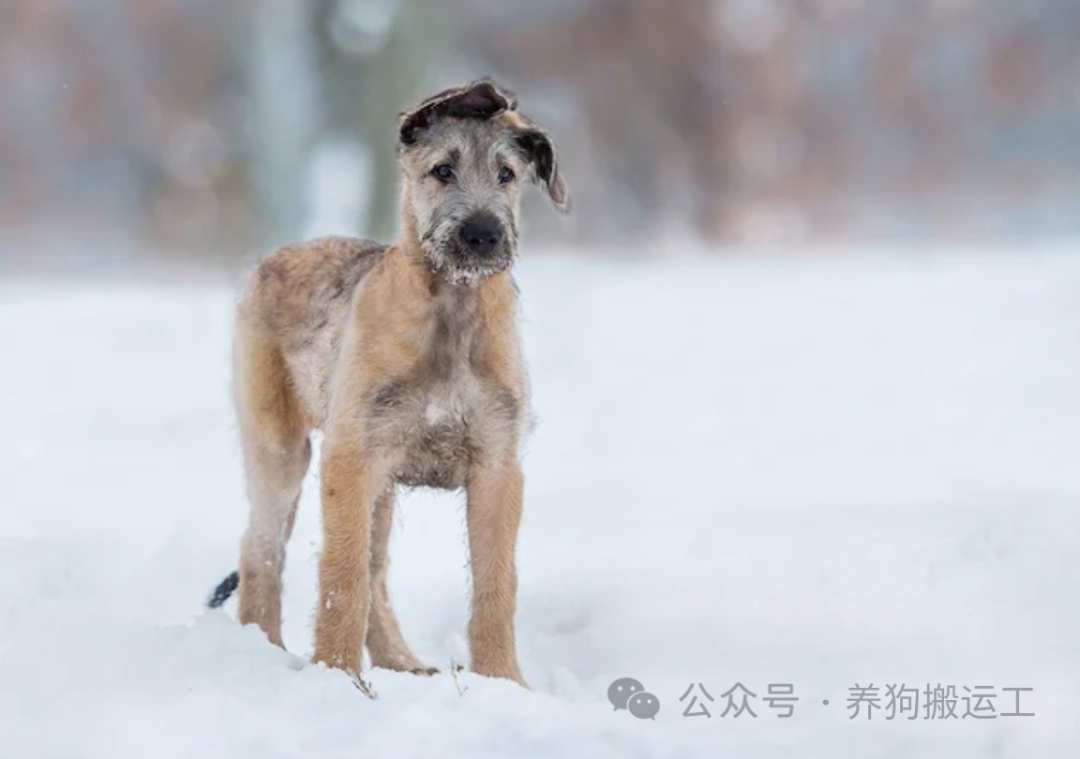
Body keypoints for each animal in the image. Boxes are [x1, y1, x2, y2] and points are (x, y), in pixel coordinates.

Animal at [205, 78, 570, 690]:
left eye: (506, 174)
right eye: (442, 170)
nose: (482, 234)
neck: (451, 313)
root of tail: (276, 257)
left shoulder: (497, 467)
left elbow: (495, 583)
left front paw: (504, 683)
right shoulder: (351, 459)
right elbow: (341, 577)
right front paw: (336, 677)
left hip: (378, 482)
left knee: (374, 570)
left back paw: (400, 661)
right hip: (282, 448)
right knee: (262, 551)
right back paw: (264, 652)